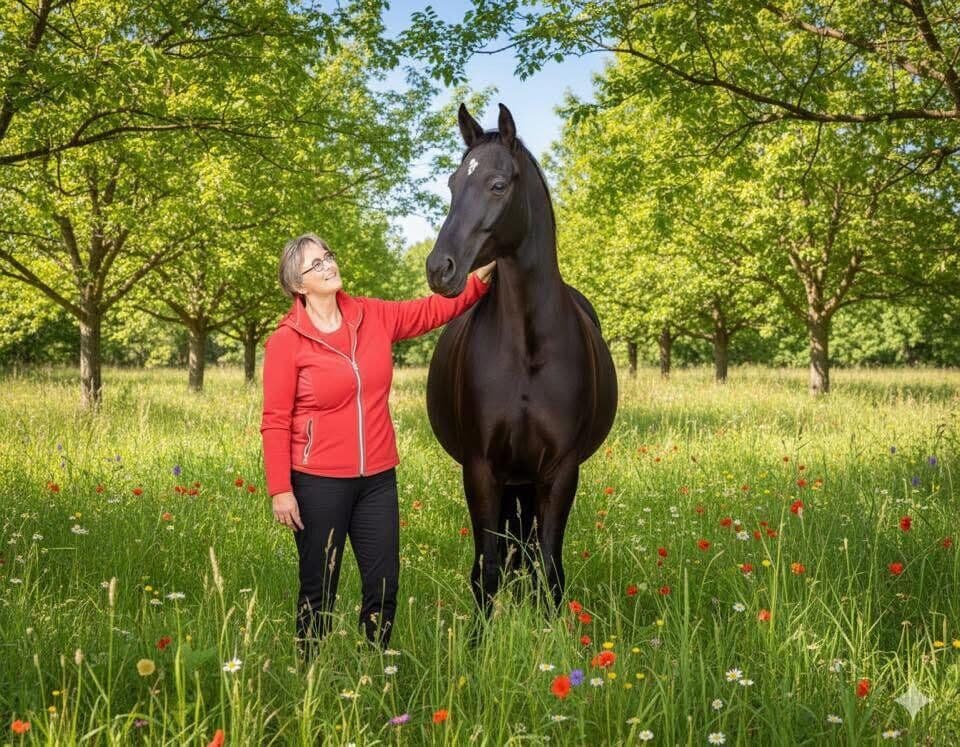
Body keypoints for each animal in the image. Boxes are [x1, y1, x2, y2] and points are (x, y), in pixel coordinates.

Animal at [424, 103, 618, 617]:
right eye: (452, 182)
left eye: (497, 184)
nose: (439, 268)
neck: (528, 349)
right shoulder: (482, 469)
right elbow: (487, 570)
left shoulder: (560, 471)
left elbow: (548, 569)